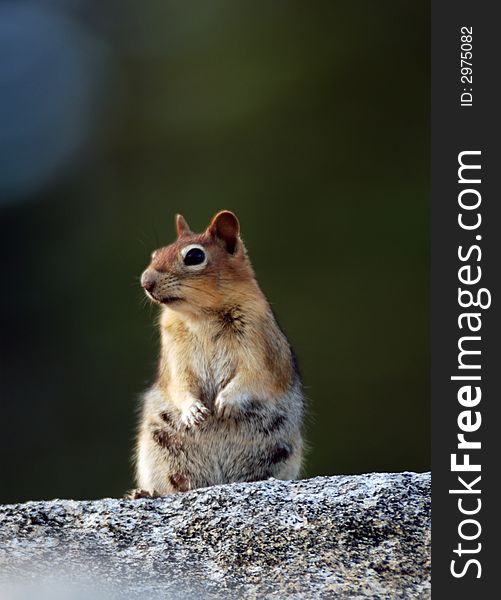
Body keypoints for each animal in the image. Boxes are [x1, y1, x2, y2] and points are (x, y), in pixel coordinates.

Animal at [129, 211, 304, 496]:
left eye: (194, 256)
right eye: (155, 254)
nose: (146, 282)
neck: (200, 316)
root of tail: (218, 480)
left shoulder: (259, 346)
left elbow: (254, 376)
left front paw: (225, 402)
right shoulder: (175, 353)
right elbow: (179, 383)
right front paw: (193, 410)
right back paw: (145, 493)